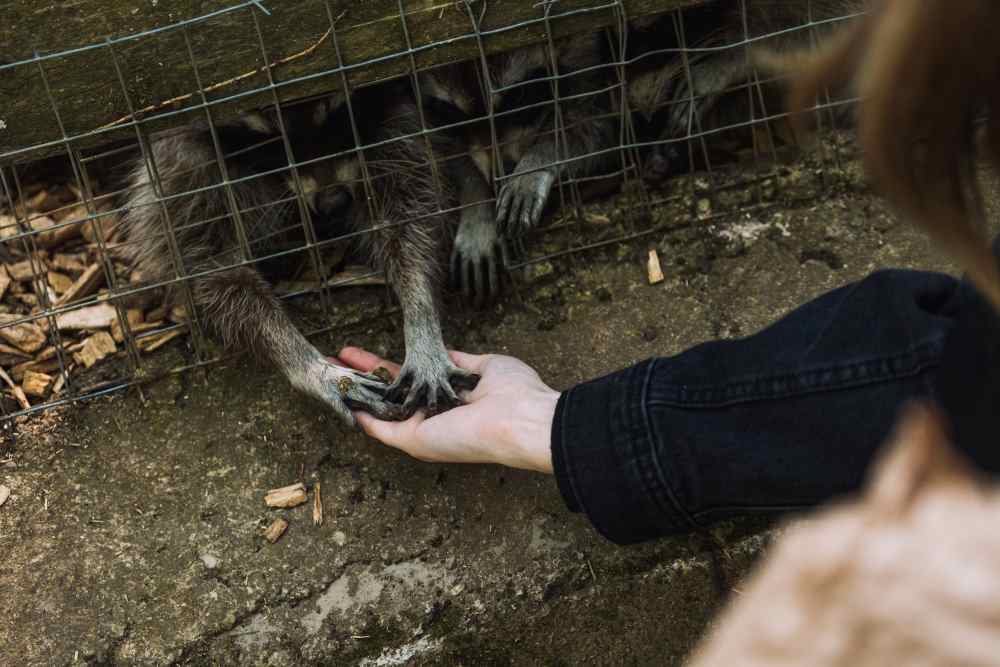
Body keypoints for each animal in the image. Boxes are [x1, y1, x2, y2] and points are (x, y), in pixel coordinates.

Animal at [121, 83, 480, 426]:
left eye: (338, 117)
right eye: (273, 142)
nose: (333, 202)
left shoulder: (392, 118)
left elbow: (409, 214)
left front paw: (420, 313)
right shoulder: (184, 163)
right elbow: (209, 268)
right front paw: (304, 362)